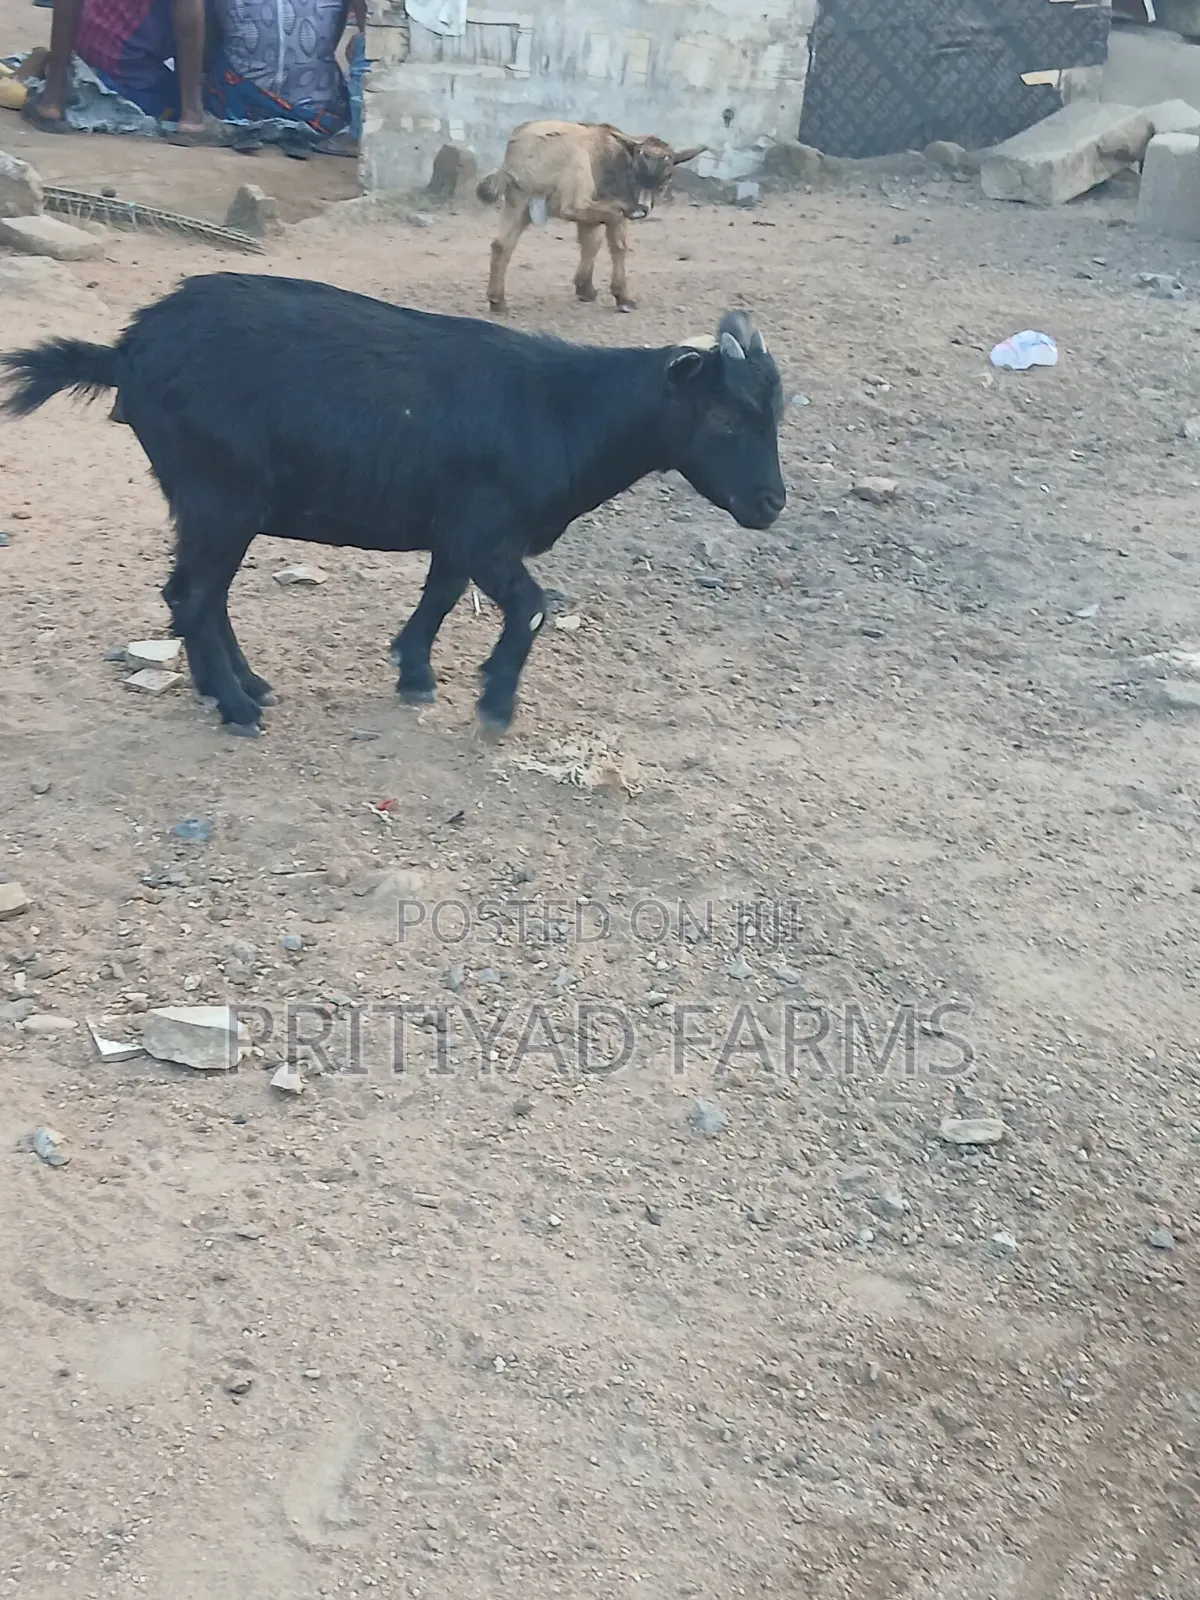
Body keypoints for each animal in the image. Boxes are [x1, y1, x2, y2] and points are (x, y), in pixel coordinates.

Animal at [1, 272, 785, 739]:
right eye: (723, 416)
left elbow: (441, 594)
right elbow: (530, 606)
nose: (771, 503)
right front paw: (495, 703)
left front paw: (414, 675)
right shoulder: (487, 532)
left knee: (201, 596)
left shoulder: (458, 531)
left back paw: (243, 686)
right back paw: (237, 706)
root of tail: (126, 352)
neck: (563, 411)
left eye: (775, 412)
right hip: (219, 495)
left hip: (213, 504)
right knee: (192, 596)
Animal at [476, 120, 705, 315]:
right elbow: (616, 245)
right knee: (573, 209)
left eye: (667, 176)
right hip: (575, 169)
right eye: (636, 170)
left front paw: (585, 288)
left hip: (517, 202)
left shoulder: (590, 212)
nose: (642, 208)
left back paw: (498, 301)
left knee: (502, 244)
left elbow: (590, 242)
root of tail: (517, 151)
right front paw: (622, 298)